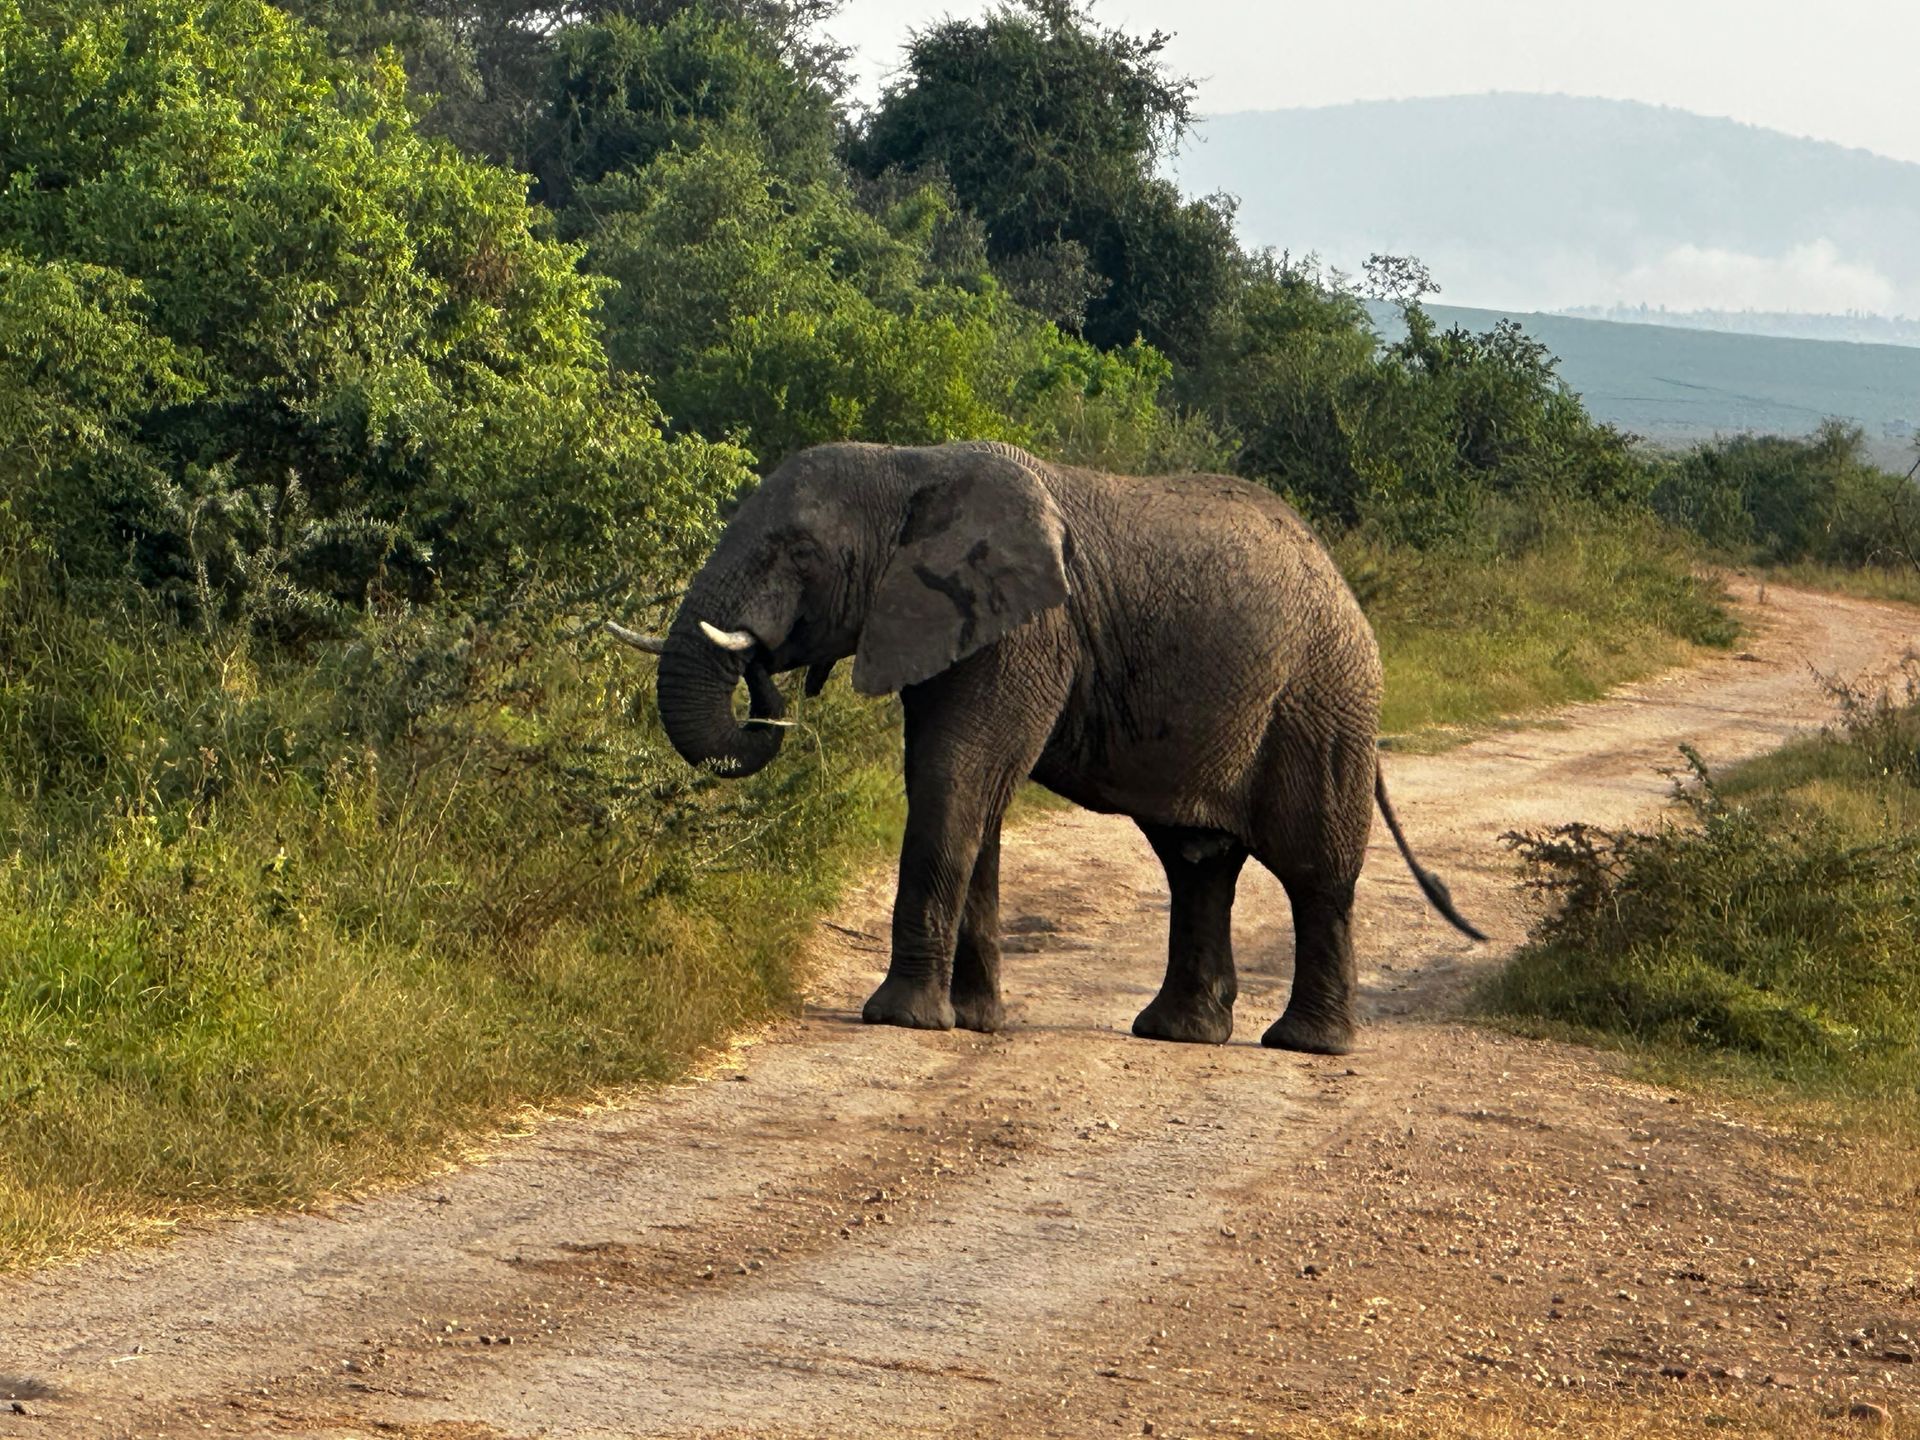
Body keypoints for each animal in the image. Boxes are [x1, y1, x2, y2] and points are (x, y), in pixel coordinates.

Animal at [636, 440, 1483, 1055]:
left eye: (799, 552)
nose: (764, 675)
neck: (910, 464)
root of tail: (1344, 585)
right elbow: (969, 795)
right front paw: (976, 1021)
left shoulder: (1029, 632)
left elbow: (956, 778)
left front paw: (901, 1019)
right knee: (1196, 864)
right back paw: (1178, 1033)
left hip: (1322, 699)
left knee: (1314, 871)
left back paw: (1308, 1046)